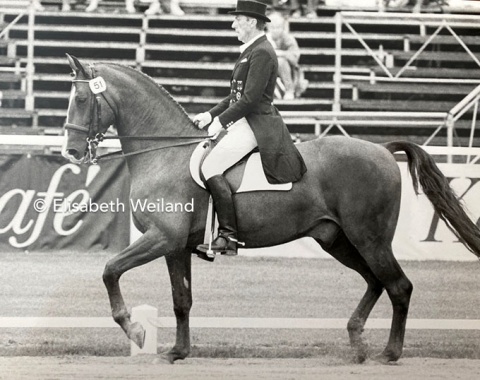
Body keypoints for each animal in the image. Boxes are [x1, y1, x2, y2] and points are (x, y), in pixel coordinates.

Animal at [62, 55, 480, 364]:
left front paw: (135, 330)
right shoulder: (176, 246)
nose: (71, 151)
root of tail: (382, 149)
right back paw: (358, 342)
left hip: (370, 238)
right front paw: (178, 351)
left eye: (81, 100)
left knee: (398, 286)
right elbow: (182, 300)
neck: (165, 154)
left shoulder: (161, 238)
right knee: (377, 282)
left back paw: (389, 353)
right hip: (337, 240)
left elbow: (110, 270)